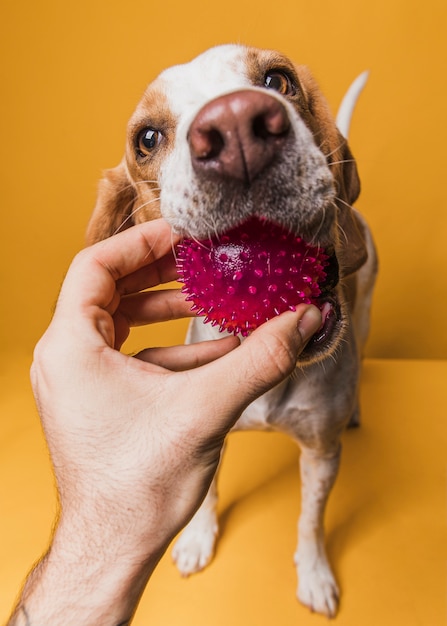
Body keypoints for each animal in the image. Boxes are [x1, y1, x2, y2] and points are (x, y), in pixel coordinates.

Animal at [86, 42, 378, 616]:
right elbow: (207, 497)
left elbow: (310, 521)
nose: (237, 126)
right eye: (147, 138)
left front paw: (314, 572)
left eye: (278, 80)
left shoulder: (322, 454)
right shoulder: (208, 439)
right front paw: (198, 539)